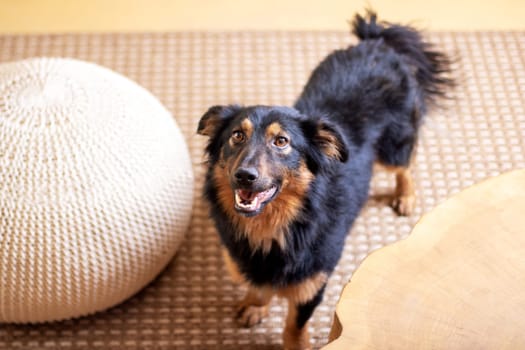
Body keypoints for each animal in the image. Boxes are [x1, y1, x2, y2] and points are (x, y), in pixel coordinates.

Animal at [196, 10, 450, 350]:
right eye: (236, 136)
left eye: (282, 142)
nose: (244, 176)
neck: (273, 227)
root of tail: (377, 43)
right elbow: (258, 287)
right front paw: (255, 306)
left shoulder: (313, 283)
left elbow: (293, 327)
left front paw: (295, 341)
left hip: (394, 145)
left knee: (404, 167)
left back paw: (405, 197)